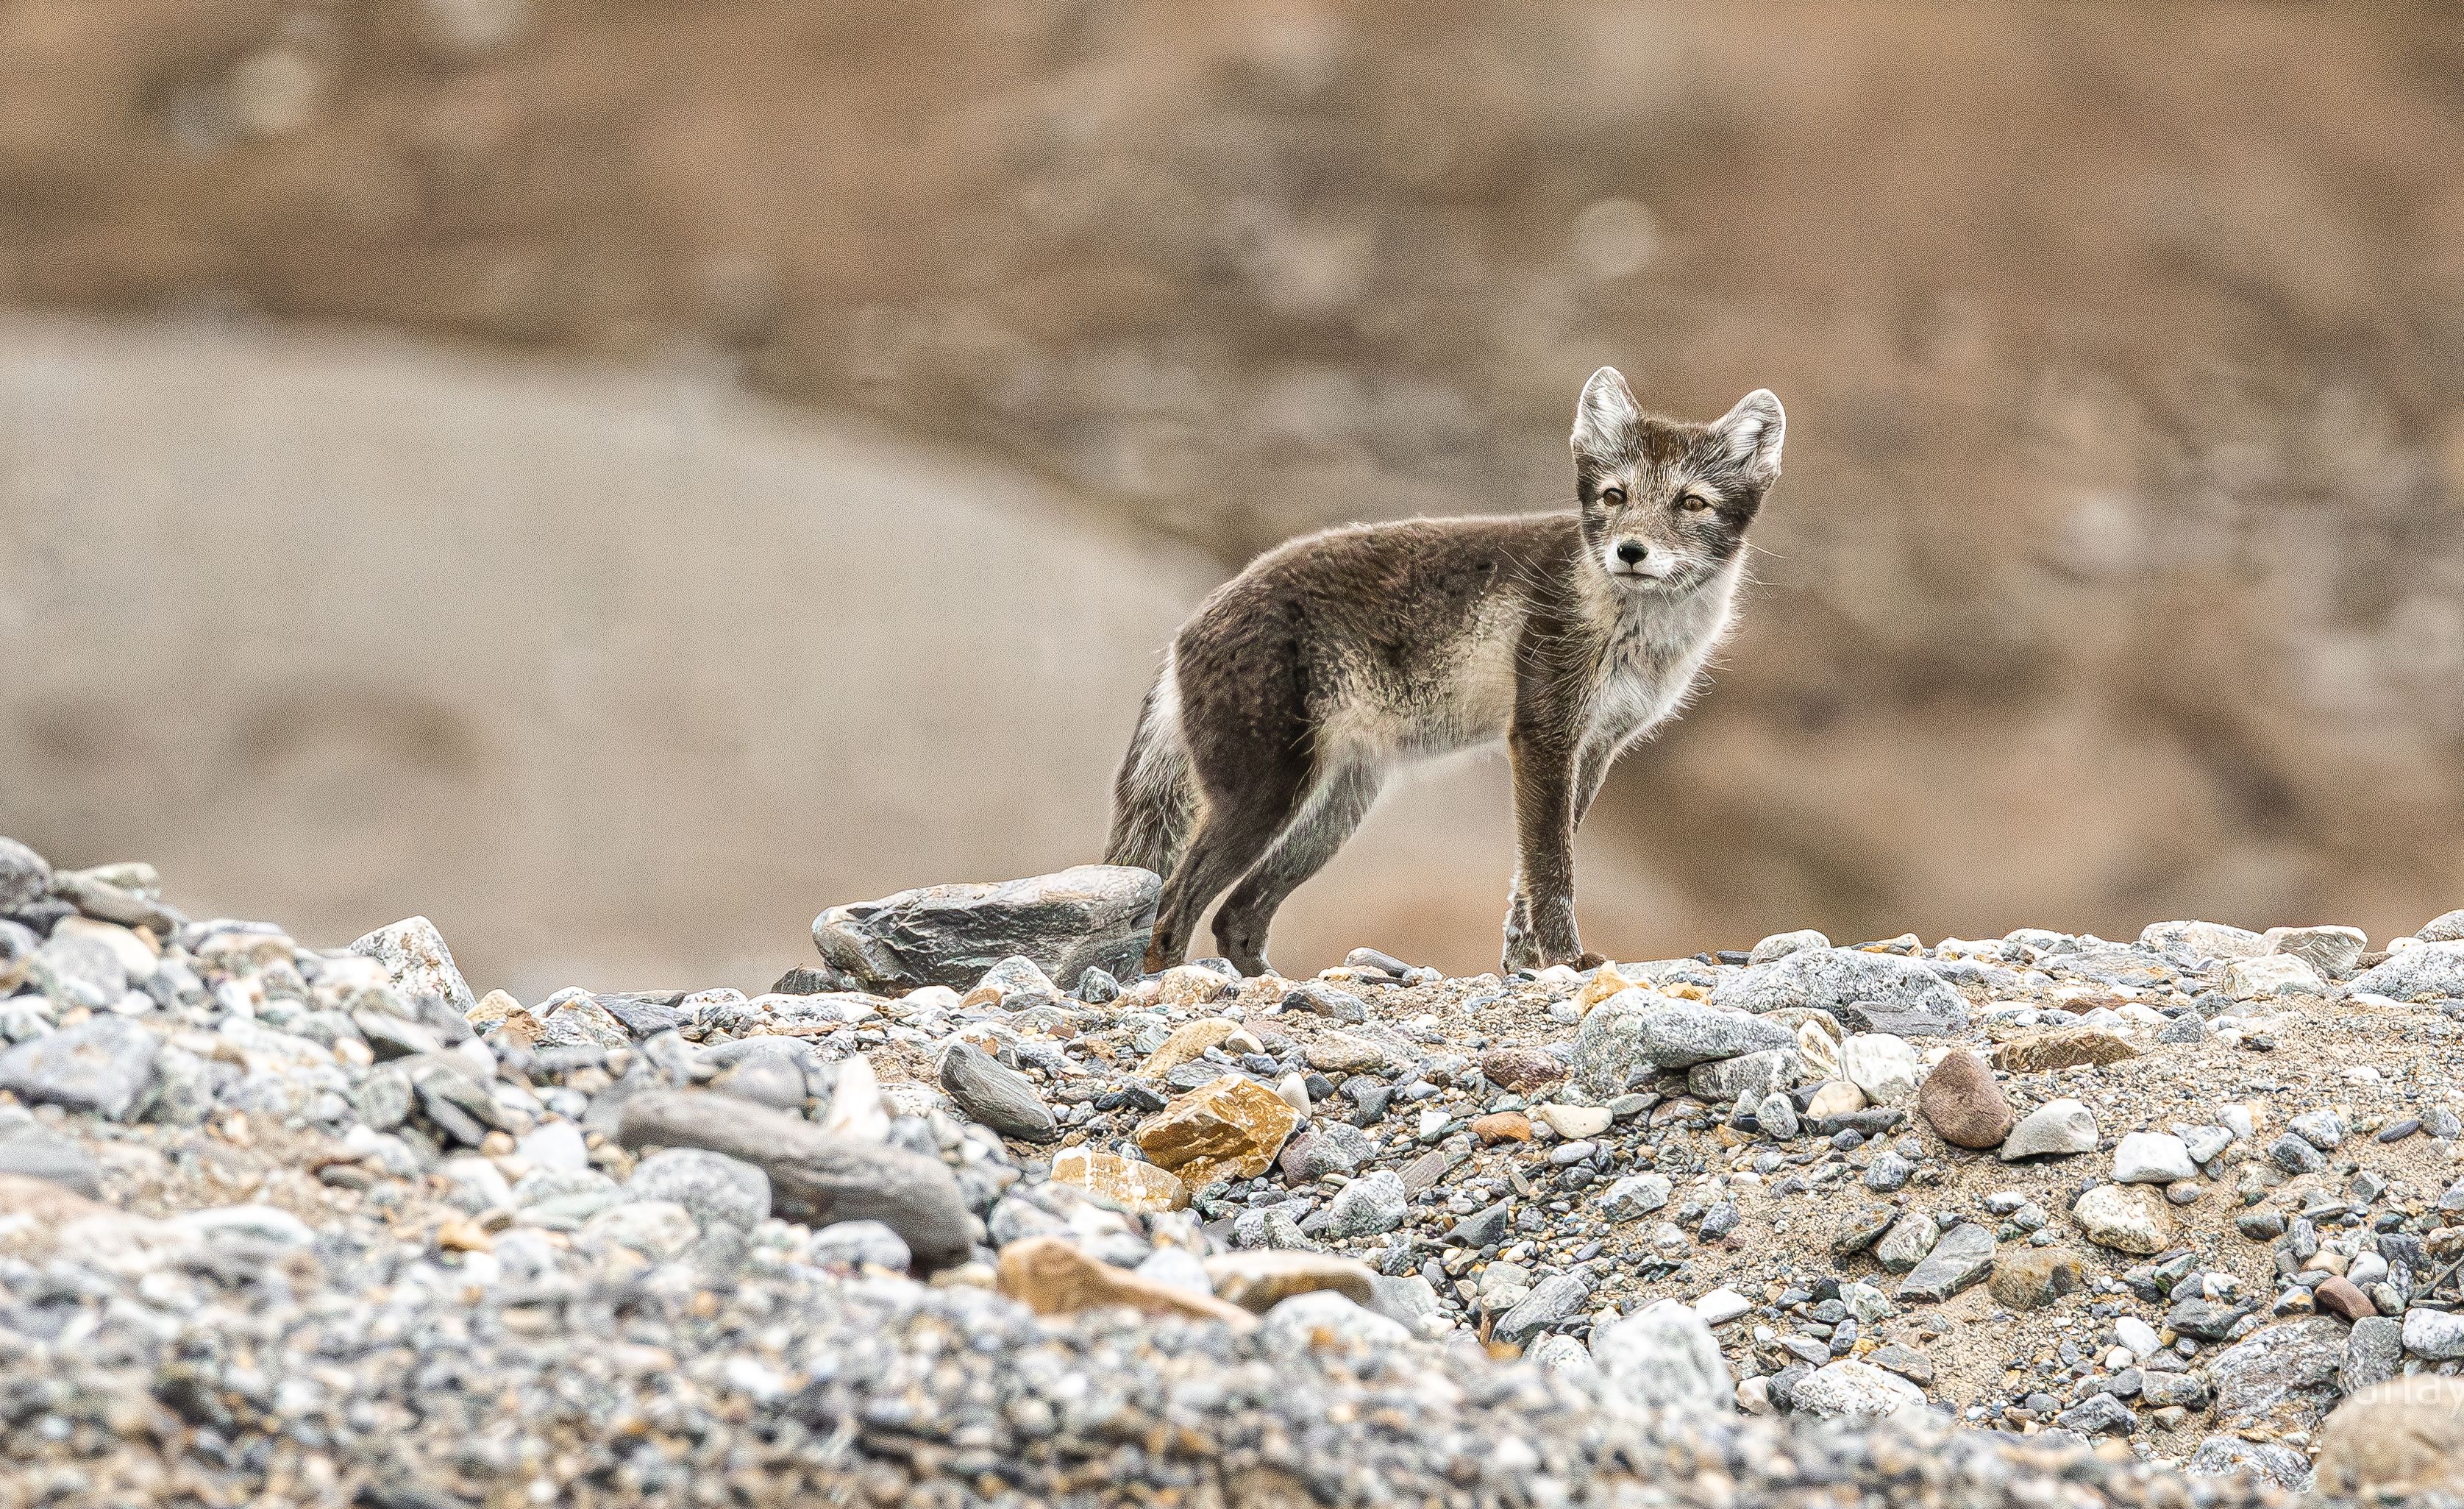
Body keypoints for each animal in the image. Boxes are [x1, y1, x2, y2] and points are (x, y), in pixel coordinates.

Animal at [1105, 366, 1784, 979]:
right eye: (1615, 496)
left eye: (1692, 502)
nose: (1631, 552)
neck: (1632, 625)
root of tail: (1187, 628)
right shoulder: (1543, 736)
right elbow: (1552, 868)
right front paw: (1567, 959)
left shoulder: (1595, 750)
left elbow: (1528, 876)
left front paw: (1525, 964)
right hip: (1266, 794)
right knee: (1172, 908)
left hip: (1335, 809)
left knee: (1236, 917)